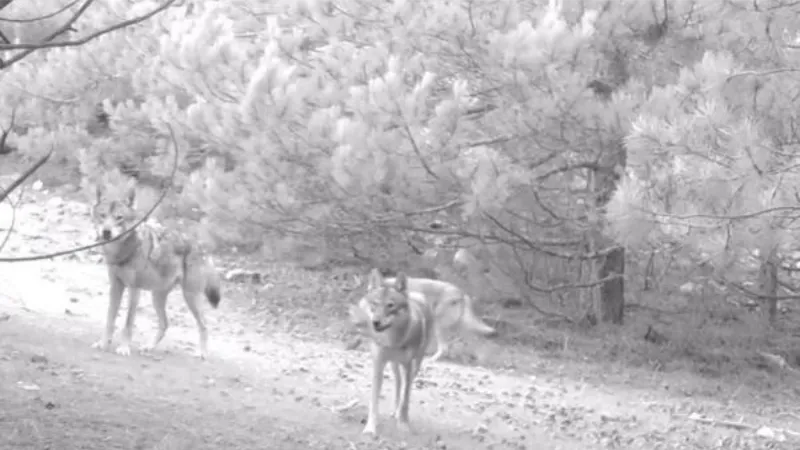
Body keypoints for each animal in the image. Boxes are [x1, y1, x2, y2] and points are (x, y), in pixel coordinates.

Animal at [90, 182, 220, 358]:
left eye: (119, 218)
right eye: (102, 216)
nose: (106, 232)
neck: (122, 251)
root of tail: (203, 248)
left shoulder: (134, 290)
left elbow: (128, 323)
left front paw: (124, 348)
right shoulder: (116, 287)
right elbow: (110, 319)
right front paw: (103, 344)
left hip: (190, 297)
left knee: (204, 324)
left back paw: (202, 353)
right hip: (157, 297)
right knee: (165, 324)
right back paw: (148, 347)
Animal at [350, 268, 438, 434]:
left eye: (390, 305)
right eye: (375, 304)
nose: (375, 322)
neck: (393, 341)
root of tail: (416, 295)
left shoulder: (408, 366)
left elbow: (406, 399)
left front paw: (403, 424)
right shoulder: (378, 365)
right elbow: (374, 401)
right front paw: (370, 428)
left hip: (415, 364)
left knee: (404, 386)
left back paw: (397, 412)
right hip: (393, 365)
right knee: (398, 383)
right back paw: (394, 410)